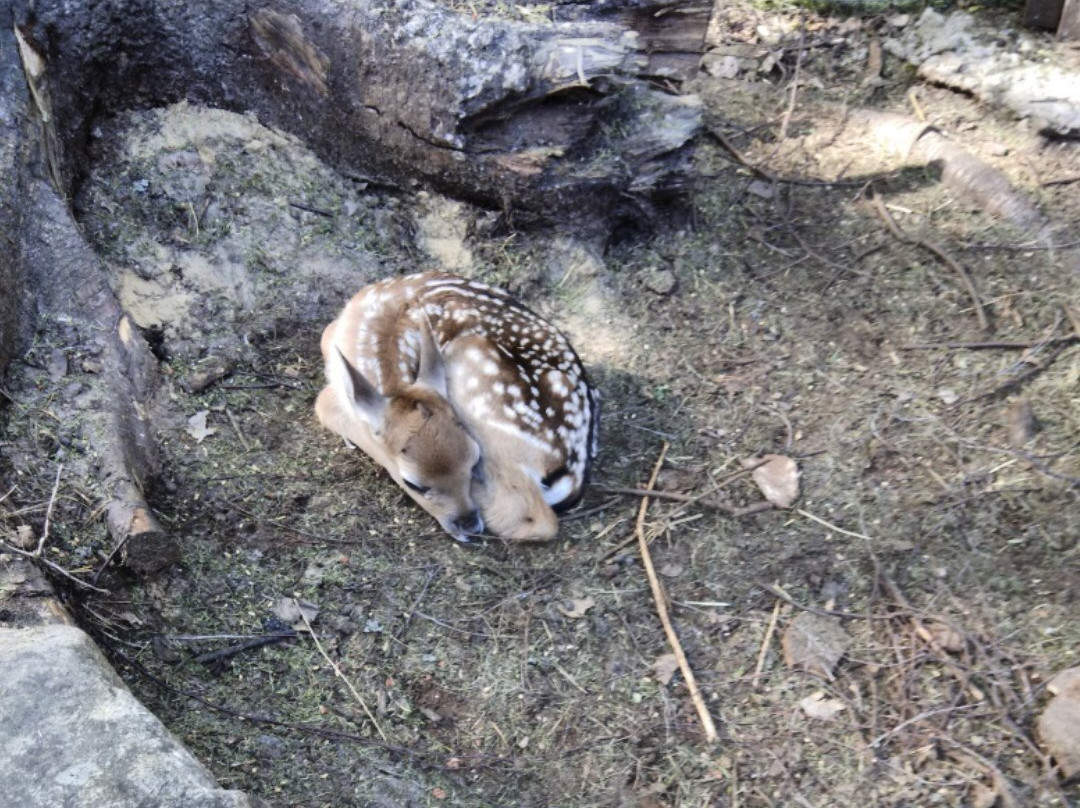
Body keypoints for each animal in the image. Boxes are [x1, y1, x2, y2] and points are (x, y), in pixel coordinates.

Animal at [315, 273, 600, 542]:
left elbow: (324, 404)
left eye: (473, 462)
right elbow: (325, 336)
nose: (470, 526)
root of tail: (571, 475)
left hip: (473, 365)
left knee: (532, 517)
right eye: (413, 484)